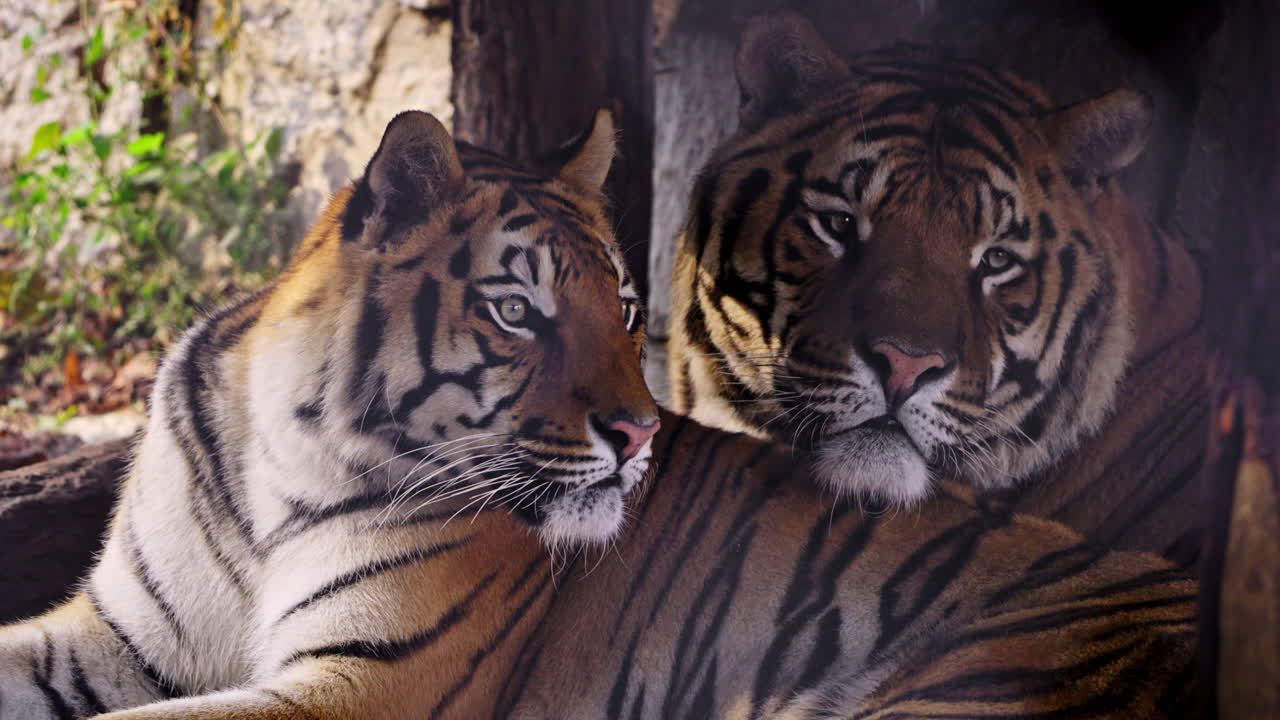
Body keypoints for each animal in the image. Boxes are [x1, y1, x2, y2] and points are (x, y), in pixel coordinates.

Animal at [0, 108, 662, 719]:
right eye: (516, 311)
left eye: (626, 311)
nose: (640, 432)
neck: (277, 457)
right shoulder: (119, 635)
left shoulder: (366, 682)